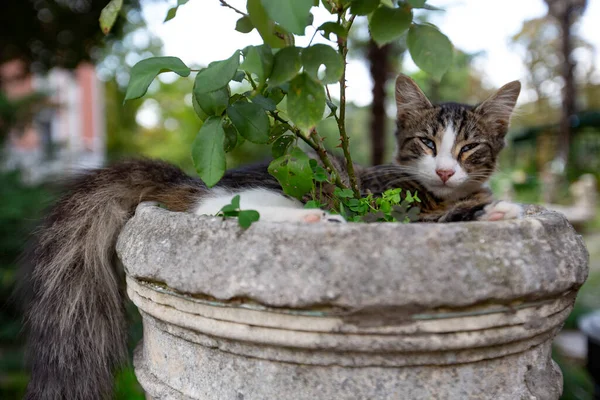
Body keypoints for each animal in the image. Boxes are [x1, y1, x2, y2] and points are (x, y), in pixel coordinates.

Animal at [19, 73, 520, 398]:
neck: (437, 193)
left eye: (469, 148)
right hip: (279, 192)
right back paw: (317, 222)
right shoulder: (392, 210)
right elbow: (443, 217)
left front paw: (486, 203)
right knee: (224, 213)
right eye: (428, 143)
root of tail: (196, 181)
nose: (445, 170)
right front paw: (491, 211)